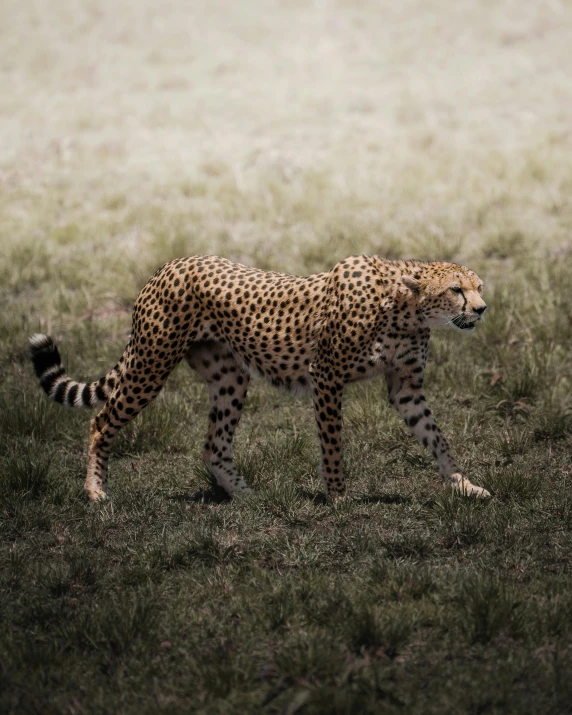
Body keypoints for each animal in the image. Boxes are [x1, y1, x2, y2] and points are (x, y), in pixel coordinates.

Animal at [29, 255, 490, 500]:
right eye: (456, 290)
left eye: (480, 286)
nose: (483, 309)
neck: (403, 307)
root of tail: (170, 264)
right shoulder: (325, 376)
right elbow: (333, 442)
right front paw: (338, 495)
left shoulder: (405, 388)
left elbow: (437, 437)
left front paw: (463, 485)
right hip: (151, 364)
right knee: (100, 421)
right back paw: (95, 490)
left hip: (229, 377)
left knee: (213, 446)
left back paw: (247, 497)